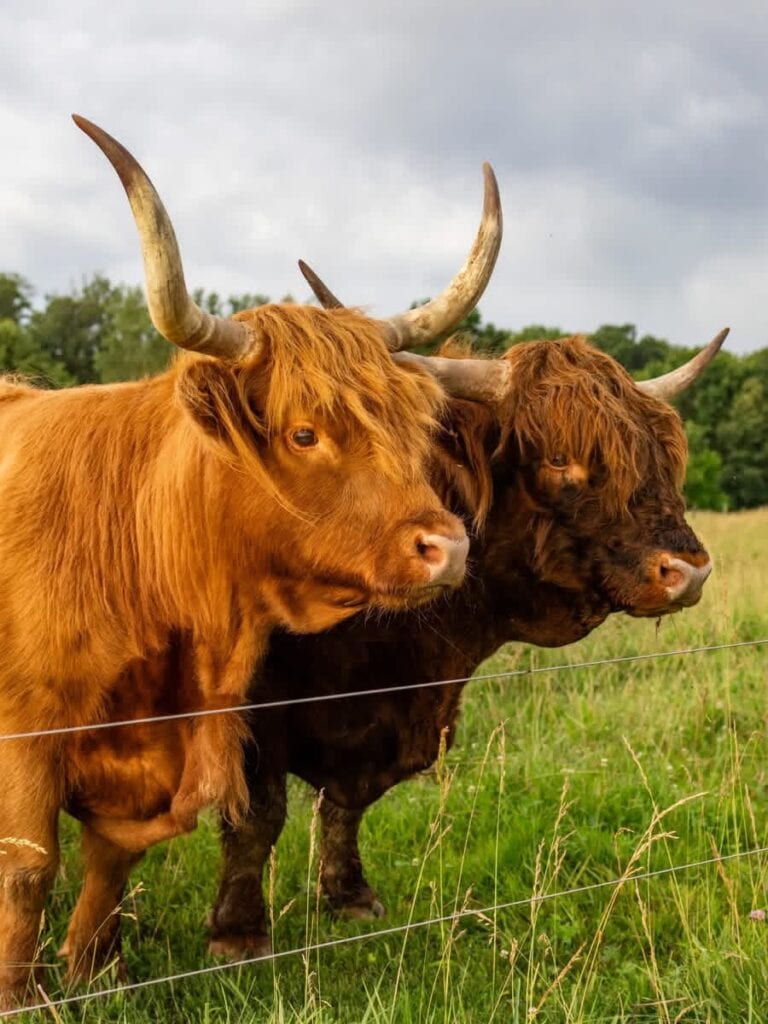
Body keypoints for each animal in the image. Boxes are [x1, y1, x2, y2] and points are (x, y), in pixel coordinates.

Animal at [0, 120, 501, 1007]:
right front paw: (19, 997)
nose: (448, 547)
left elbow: (113, 853)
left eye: (415, 426)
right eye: (304, 432)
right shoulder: (27, 727)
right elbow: (30, 866)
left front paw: (97, 971)